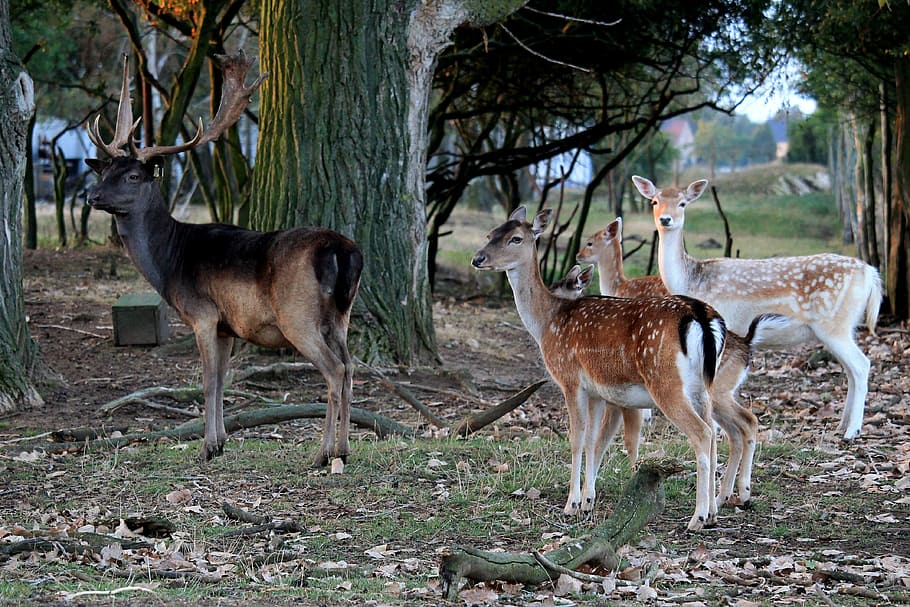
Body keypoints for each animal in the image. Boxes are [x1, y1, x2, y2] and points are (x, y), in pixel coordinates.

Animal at [84, 52, 363, 466]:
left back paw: (322, 454)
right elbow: (221, 381)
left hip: (298, 315)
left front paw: (206, 447)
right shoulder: (226, 326)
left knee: (334, 369)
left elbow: (206, 380)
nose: (92, 196)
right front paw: (220, 443)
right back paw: (343, 449)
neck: (170, 260)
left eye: (133, 176)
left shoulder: (202, 313)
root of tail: (343, 252)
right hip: (341, 315)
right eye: (105, 170)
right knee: (349, 366)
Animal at [472, 207, 727, 531]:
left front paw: (571, 505)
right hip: (703, 385)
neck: (547, 323)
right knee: (715, 432)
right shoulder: (594, 390)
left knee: (703, 433)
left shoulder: (569, 379)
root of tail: (703, 318)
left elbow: (576, 439)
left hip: (665, 381)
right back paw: (713, 514)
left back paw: (698, 517)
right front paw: (587, 502)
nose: (478, 259)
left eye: (515, 238)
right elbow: (594, 441)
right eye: (490, 234)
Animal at [574, 219, 792, 506]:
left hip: (715, 391)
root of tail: (747, 344)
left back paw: (733, 494)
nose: (578, 255)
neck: (618, 286)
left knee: (742, 423)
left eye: (590, 241)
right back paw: (728, 496)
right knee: (736, 428)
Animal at [633, 175, 882, 441]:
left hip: (834, 324)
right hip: (845, 325)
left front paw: (718, 429)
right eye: (654, 201)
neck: (691, 280)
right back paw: (842, 424)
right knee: (851, 369)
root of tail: (871, 273)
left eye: (682, 203)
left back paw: (853, 430)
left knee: (861, 365)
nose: (665, 219)